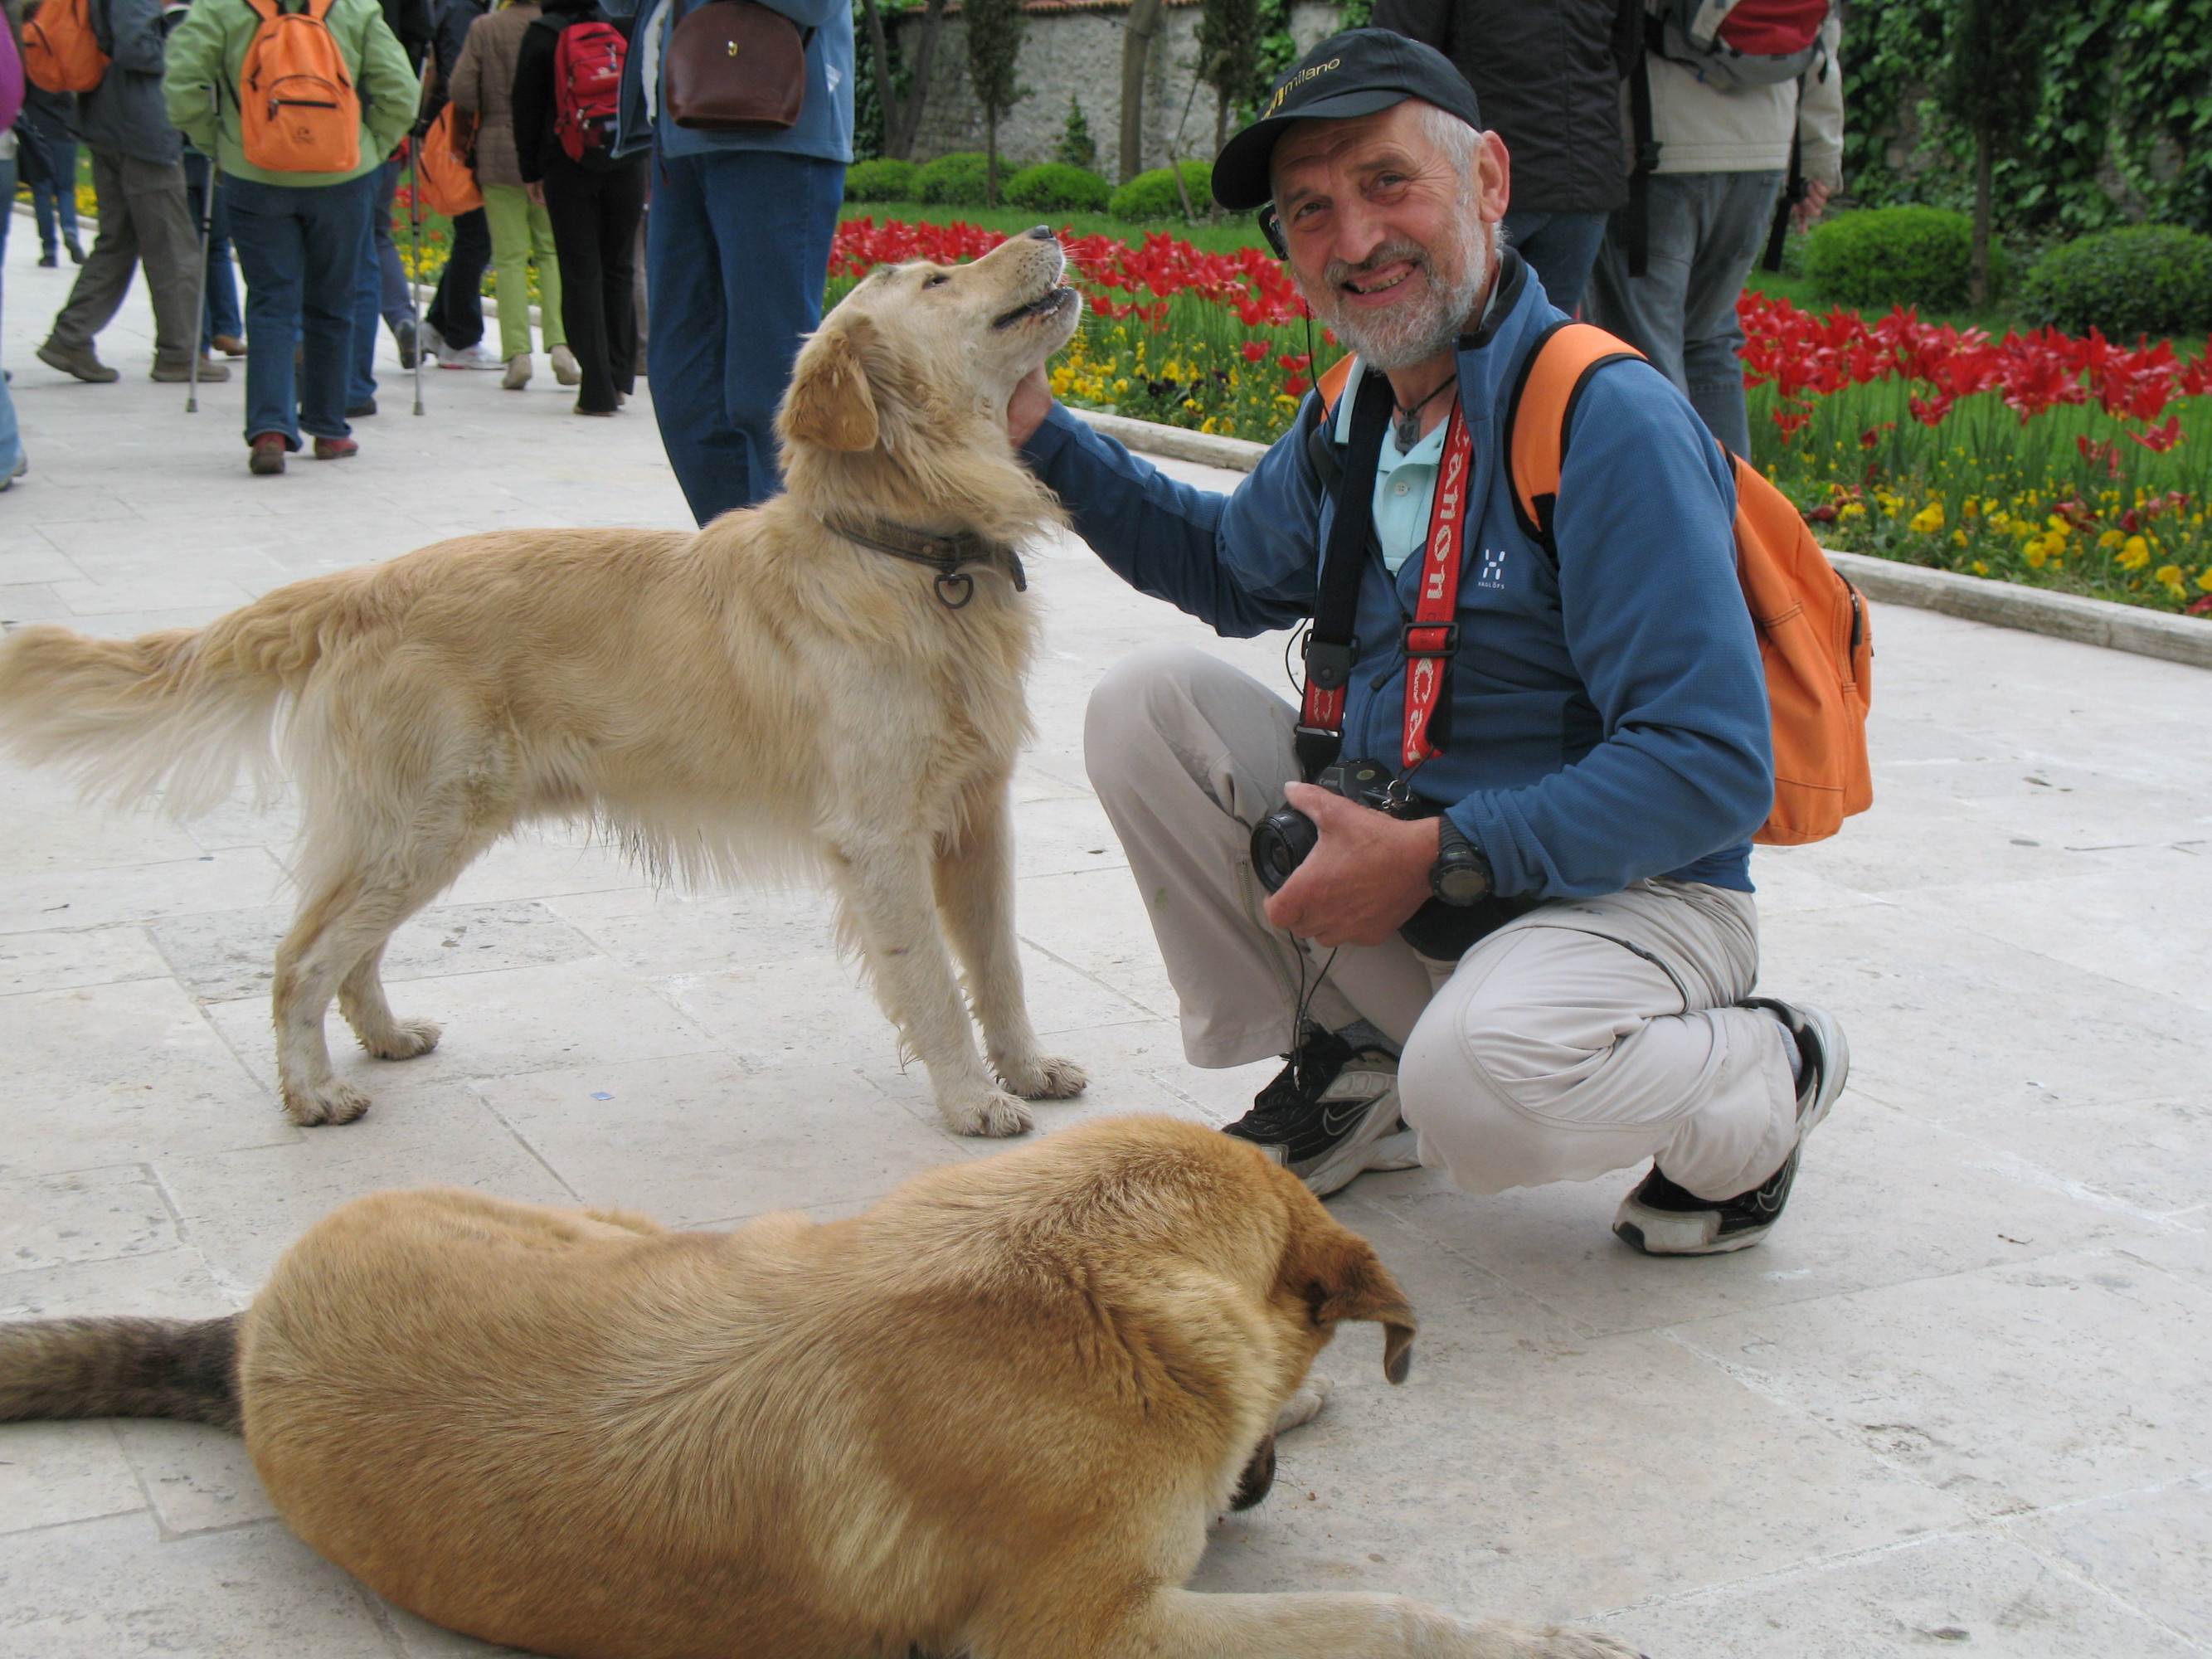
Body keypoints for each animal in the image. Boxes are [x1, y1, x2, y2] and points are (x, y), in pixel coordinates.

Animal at [0, 227, 1092, 1141]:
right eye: (937, 279)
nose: (1046, 232)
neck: (910, 549)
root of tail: (357, 587)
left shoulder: (978, 815)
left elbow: (1000, 964)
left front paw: (1027, 1066)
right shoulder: (881, 835)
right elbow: (937, 985)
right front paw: (971, 1099)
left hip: (423, 830)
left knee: (349, 952)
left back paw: (384, 1036)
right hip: (423, 820)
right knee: (299, 956)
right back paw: (313, 1090)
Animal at [0, 1119, 1636, 1659]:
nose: (1259, 1478)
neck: (1084, 1263)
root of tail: (245, 1334)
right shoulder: (1092, 1637)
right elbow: (1379, 1618)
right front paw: (1533, 1640)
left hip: (639, 1234)